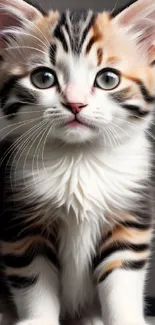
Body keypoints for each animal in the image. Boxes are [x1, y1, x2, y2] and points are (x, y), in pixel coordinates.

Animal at [0, 0, 155, 324]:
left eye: (108, 79)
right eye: (43, 78)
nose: (75, 103)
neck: (79, 157)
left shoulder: (129, 219)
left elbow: (122, 281)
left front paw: (125, 318)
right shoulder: (22, 223)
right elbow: (34, 282)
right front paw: (38, 319)